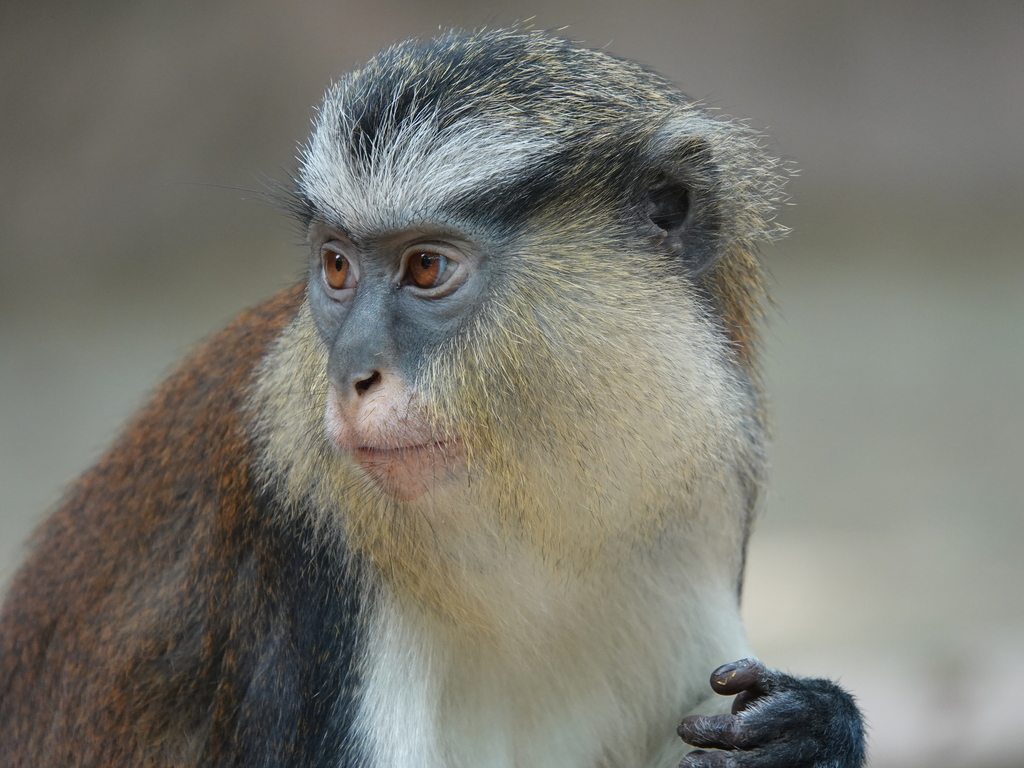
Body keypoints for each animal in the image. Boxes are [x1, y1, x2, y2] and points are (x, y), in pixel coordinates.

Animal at [0, 28, 865, 768]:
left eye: (424, 268)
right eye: (337, 266)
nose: (351, 373)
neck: (527, 526)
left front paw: (811, 728)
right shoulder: (306, 547)